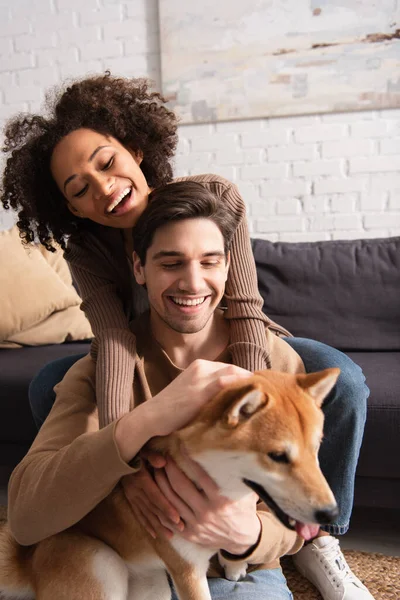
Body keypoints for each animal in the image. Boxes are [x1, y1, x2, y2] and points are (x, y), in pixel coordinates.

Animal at [0, 368, 340, 596]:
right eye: (277, 456)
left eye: (316, 447)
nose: (331, 513)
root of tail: (29, 562)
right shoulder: (187, 571)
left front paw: (233, 565)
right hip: (102, 565)